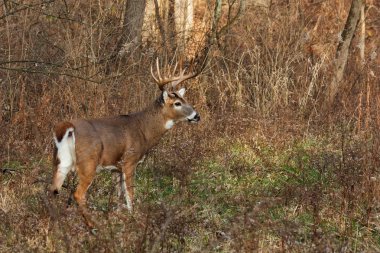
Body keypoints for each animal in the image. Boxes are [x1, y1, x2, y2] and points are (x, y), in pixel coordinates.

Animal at [49, 58, 202, 227]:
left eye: (185, 100)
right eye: (177, 103)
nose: (196, 116)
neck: (144, 130)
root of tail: (67, 127)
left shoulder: (116, 168)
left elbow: (119, 196)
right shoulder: (130, 161)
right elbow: (130, 195)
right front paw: (133, 219)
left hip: (60, 161)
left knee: (53, 189)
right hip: (88, 163)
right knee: (78, 194)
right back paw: (93, 225)